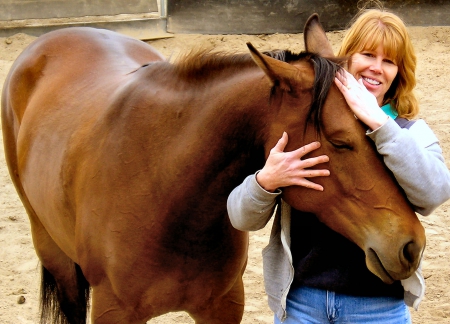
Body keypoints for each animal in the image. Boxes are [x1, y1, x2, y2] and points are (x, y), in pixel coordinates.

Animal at [2, 14, 426, 324]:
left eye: (374, 128)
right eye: (340, 141)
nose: (411, 245)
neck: (166, 192)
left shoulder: (222, 306)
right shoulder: (113, 311)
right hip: (54, 253)